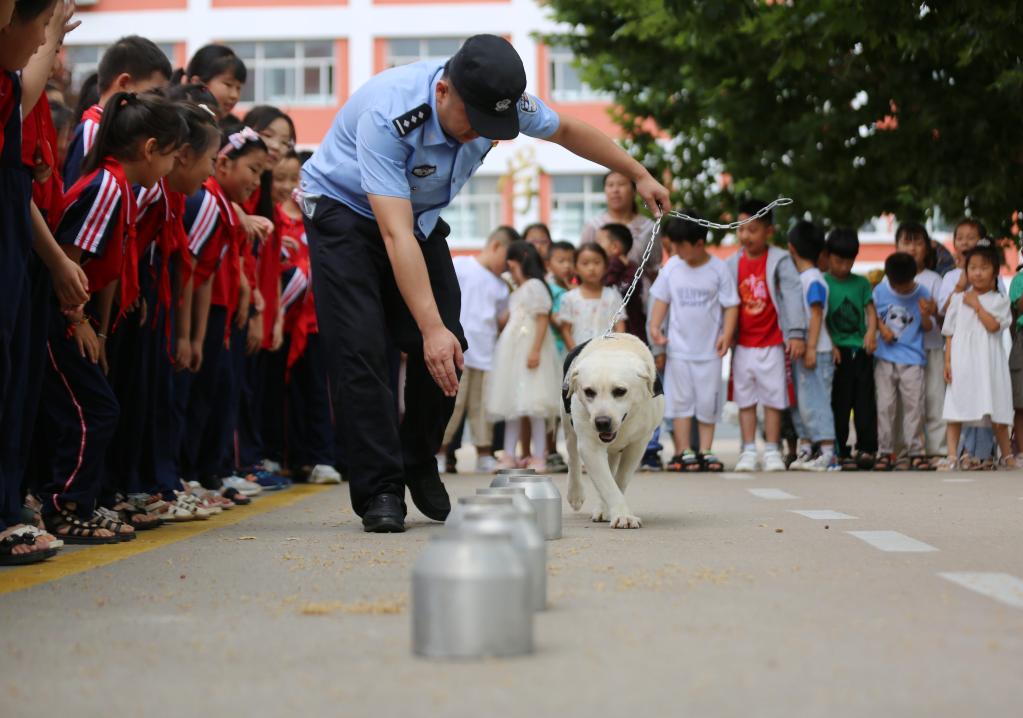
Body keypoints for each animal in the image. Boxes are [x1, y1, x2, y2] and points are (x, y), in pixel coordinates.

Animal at [560, 333, 662, 527]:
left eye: (620, 391)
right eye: (589, 391)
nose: (602, 422)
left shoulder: (638, 444)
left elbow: (618, 481)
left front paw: (614, 511)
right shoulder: (590, 447)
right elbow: (607, 484)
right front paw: (623, 515)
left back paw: (602, 509)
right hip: (568, 425)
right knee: (573, 457)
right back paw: (575, 494)